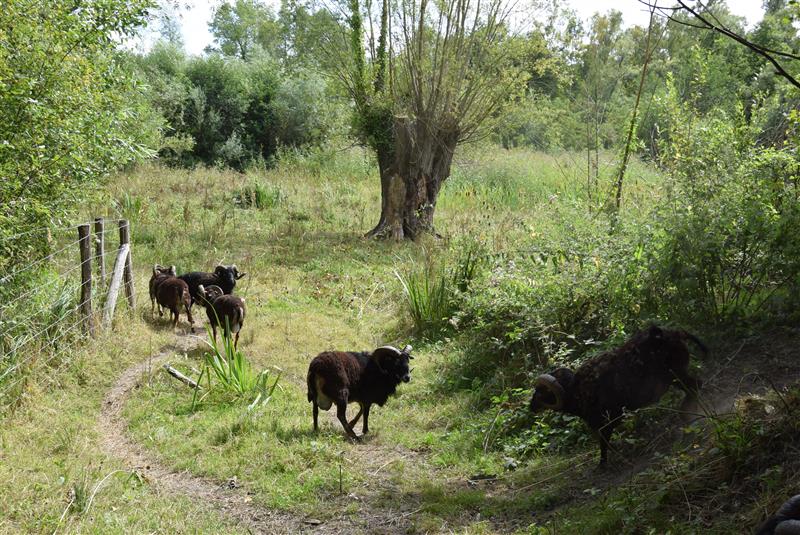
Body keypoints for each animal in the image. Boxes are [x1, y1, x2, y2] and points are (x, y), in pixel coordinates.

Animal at [529, 325, 706, 466]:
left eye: (541, 391)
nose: (531, 407)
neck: (577, 391)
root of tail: (674, 334)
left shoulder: (608, 420)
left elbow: (604, 444)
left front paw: (603, 464)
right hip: (676, 376)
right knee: (696, 387)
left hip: (676, 374)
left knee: (695, 387)